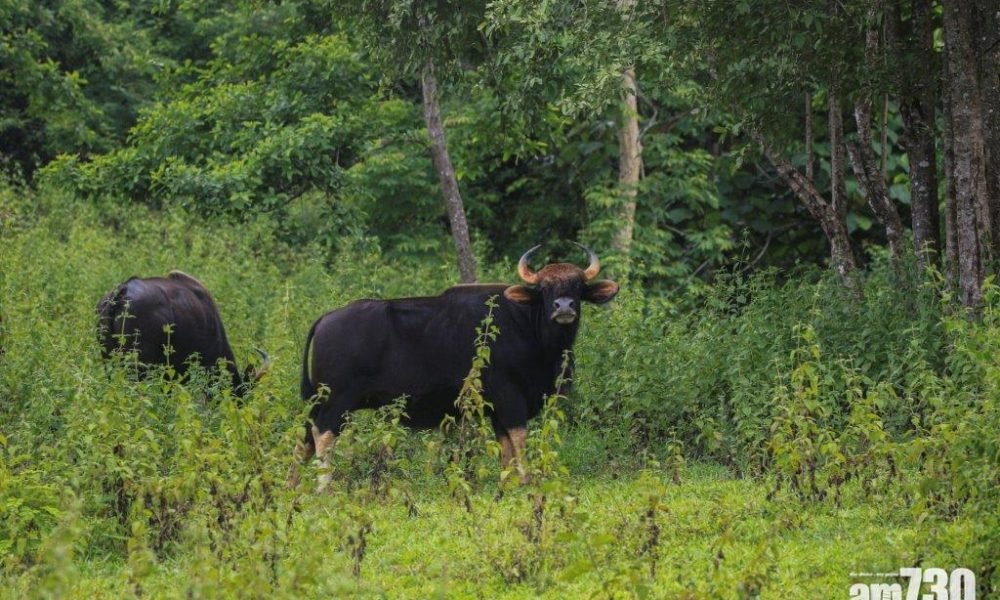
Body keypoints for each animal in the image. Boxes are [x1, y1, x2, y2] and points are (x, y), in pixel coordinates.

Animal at [290, 244, 616, 488]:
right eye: (545, 289)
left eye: (578, 285)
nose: (564, 307)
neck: (528, 327)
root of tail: (326, 319)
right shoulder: (509, 397)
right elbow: (519, 440)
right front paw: (525, 481)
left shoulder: (495, 408)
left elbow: (505, 448)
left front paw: (507, 482)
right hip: (336, 400)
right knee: (323, 435)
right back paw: (322, 485)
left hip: (319, 401)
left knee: (304, 437)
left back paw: (293, 485)